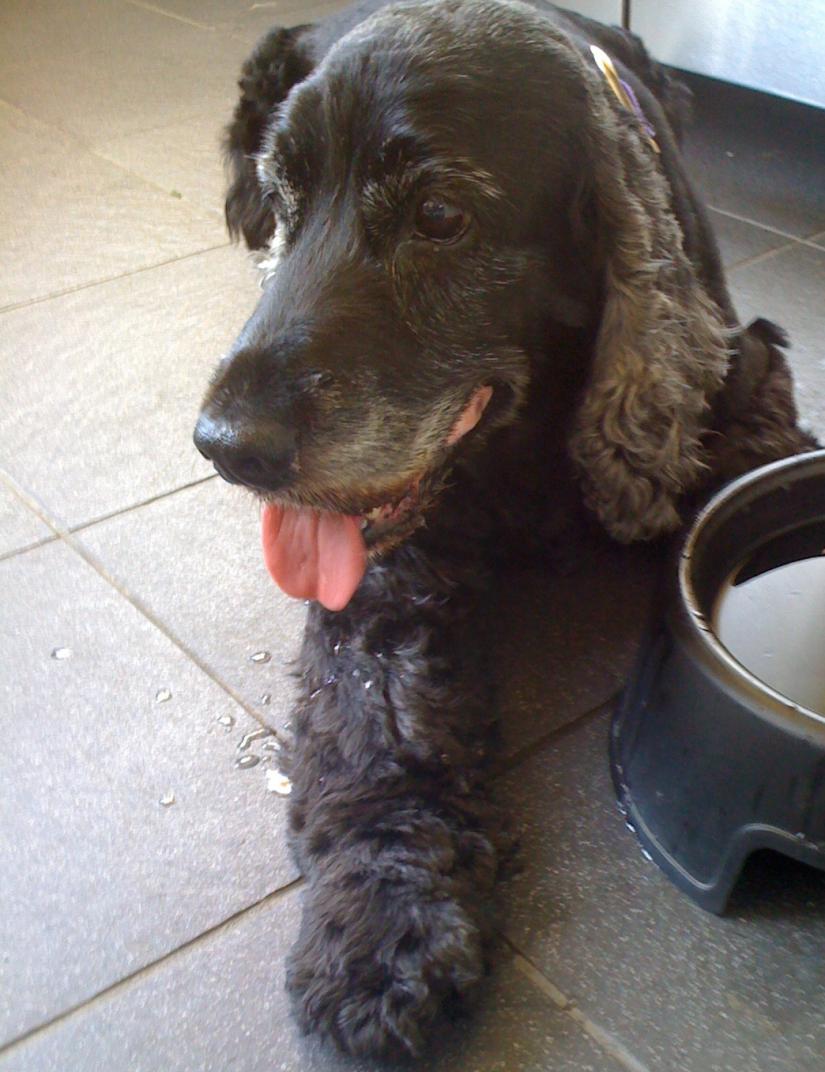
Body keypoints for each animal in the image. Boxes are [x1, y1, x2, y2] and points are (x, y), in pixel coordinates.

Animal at [192, 0, 810, 1054]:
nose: (228, 444)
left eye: (439, 217)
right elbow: (383, 740)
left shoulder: (743, 384)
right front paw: (385, 922)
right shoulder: (380, 574)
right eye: (286, 195)